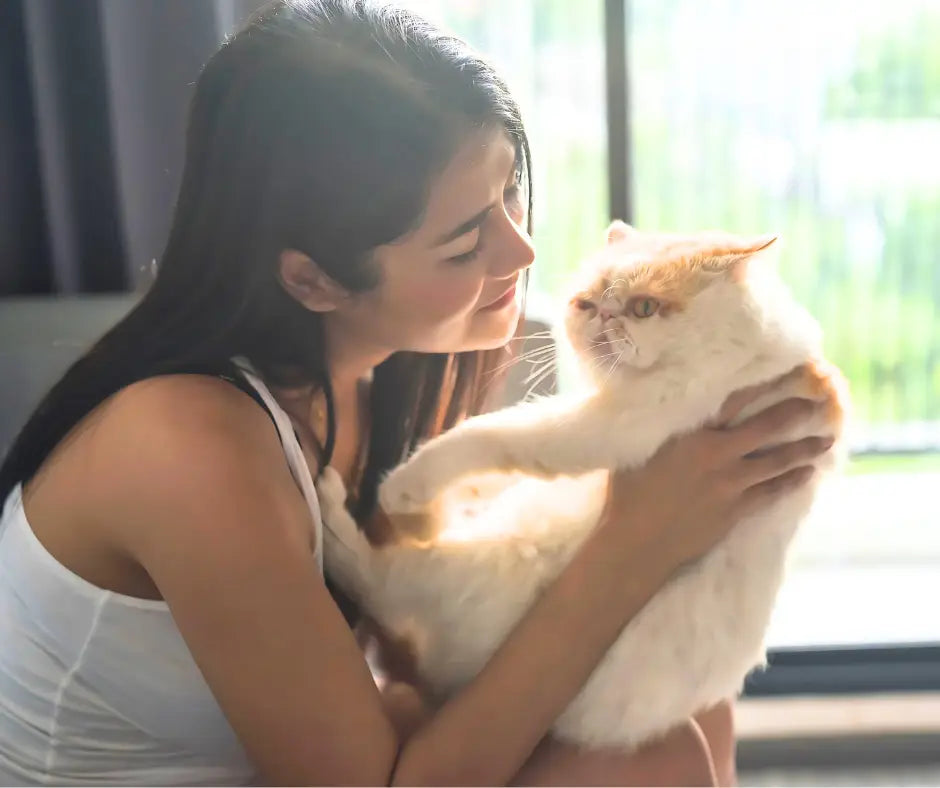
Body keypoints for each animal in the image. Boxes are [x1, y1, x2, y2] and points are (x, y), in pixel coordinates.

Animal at [318, 220, 852, 752]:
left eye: (643, 308)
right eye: (587, 304)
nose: (605, 317)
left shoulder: (606, 428)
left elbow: (492, 433)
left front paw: (404, 485)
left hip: (485, 562)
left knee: (381, 582)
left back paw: (334, 510)